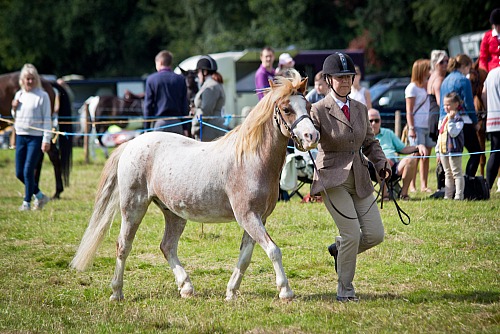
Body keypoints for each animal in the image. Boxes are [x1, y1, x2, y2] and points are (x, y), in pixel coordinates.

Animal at [69, 69, 320, 302]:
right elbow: (273, 250)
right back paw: (117, 292)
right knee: (123, 246)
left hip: (173, 213)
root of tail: (131, 144)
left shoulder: (258, 218)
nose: (312, 136)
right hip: (133, 208)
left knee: (167, 246)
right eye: (287, 109)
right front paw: (285, 291)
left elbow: (246, 256)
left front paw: (231, 292)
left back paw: (186, 287)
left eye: (308, 105)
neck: (250, 159)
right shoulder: (248, 216)